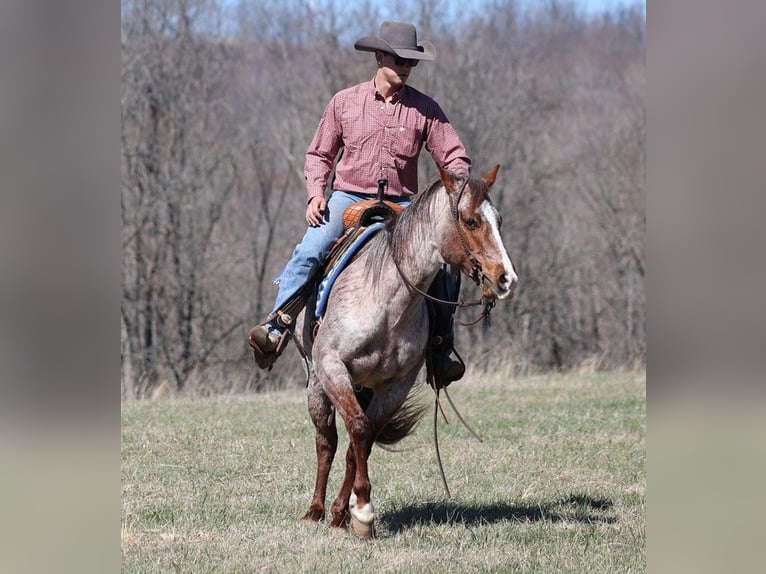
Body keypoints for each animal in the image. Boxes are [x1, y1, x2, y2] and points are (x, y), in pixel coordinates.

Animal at [296, 165, 520, 540]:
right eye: (471, 221)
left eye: (500, 220)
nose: (506, 279)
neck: (387, 301)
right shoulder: (332, 366)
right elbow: (355, 430)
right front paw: (363, 510)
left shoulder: (395, 385)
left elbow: (362, 441)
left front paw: (352, 513)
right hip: (316, 381)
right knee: (325, 441)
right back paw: (314, 511)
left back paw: (336, 513)